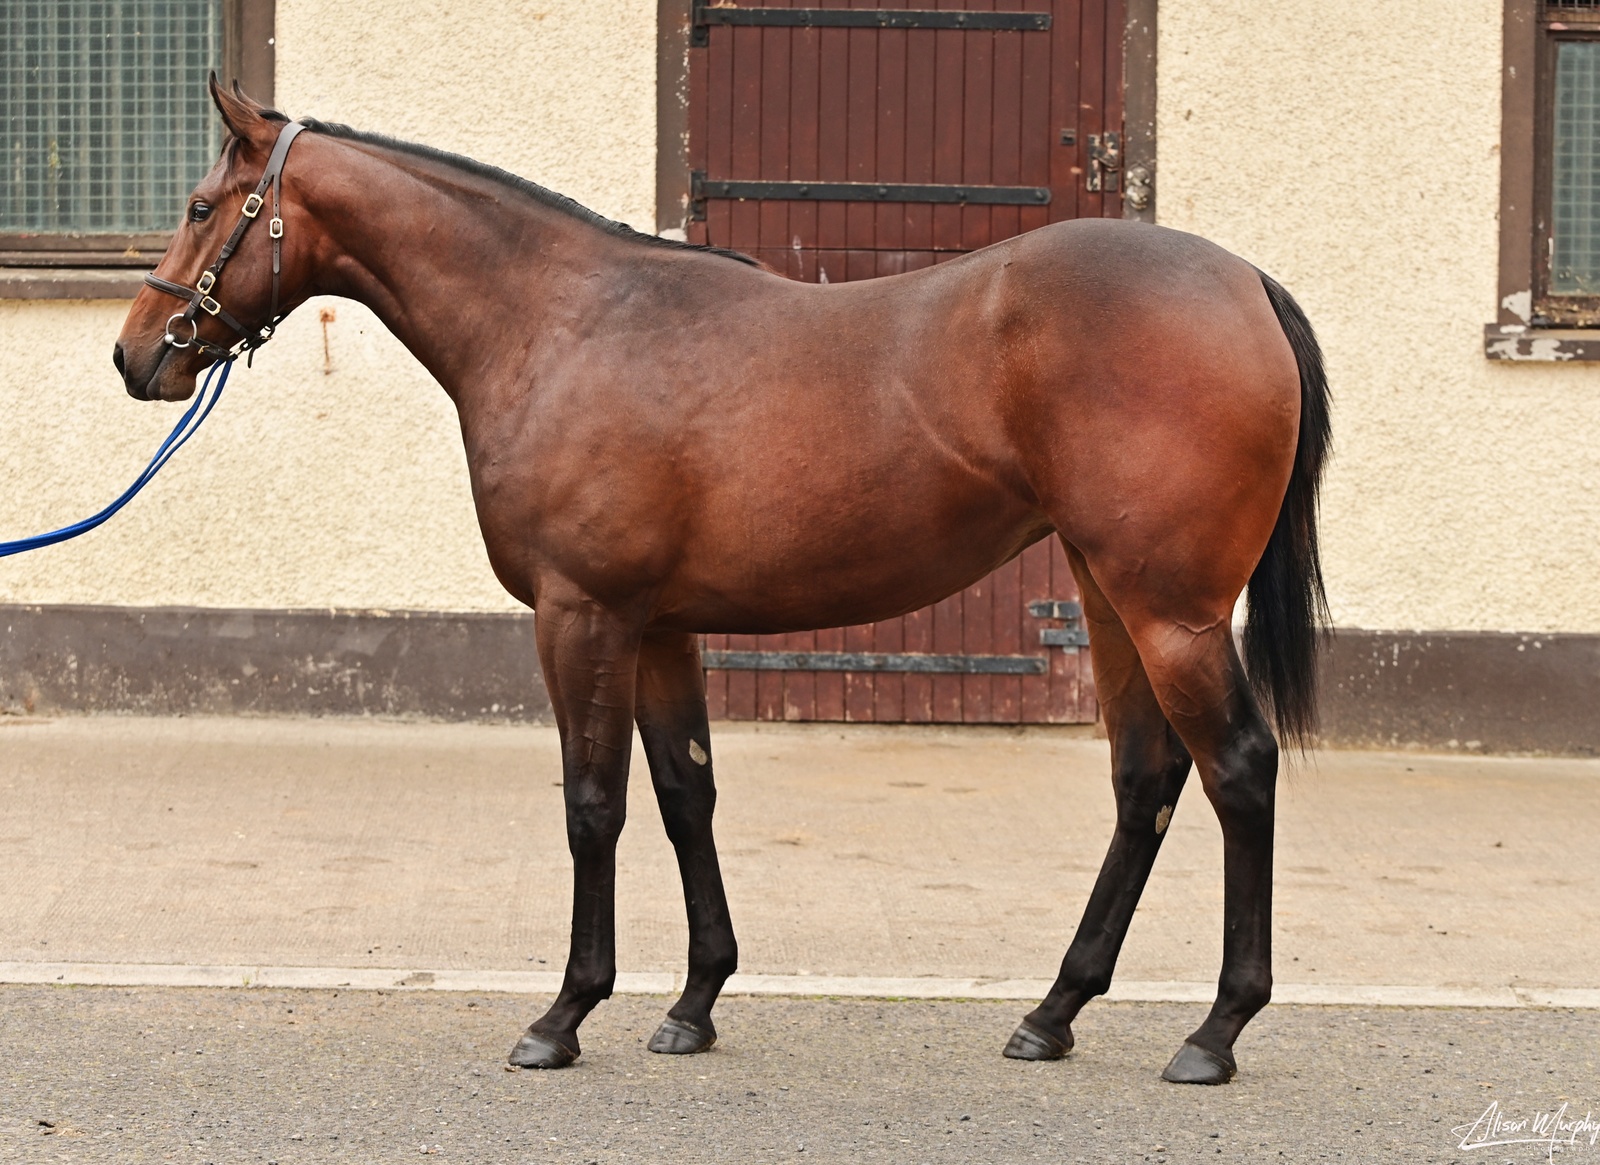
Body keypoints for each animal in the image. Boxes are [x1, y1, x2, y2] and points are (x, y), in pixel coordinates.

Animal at [114, 79, 1330, 1085]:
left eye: (201, 205)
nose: (137, 355)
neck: (560, 323)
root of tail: (1244, 281)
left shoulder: (582, 616)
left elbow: (594, 805)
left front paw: (563, 1016)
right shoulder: (658, 628)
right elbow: (683, 793)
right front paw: (692, 1004)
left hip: (1170, 610)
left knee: (1238, 769)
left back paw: (1214, 1032)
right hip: (1109, 593)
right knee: (1145, 779)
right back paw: (1052, 1012)